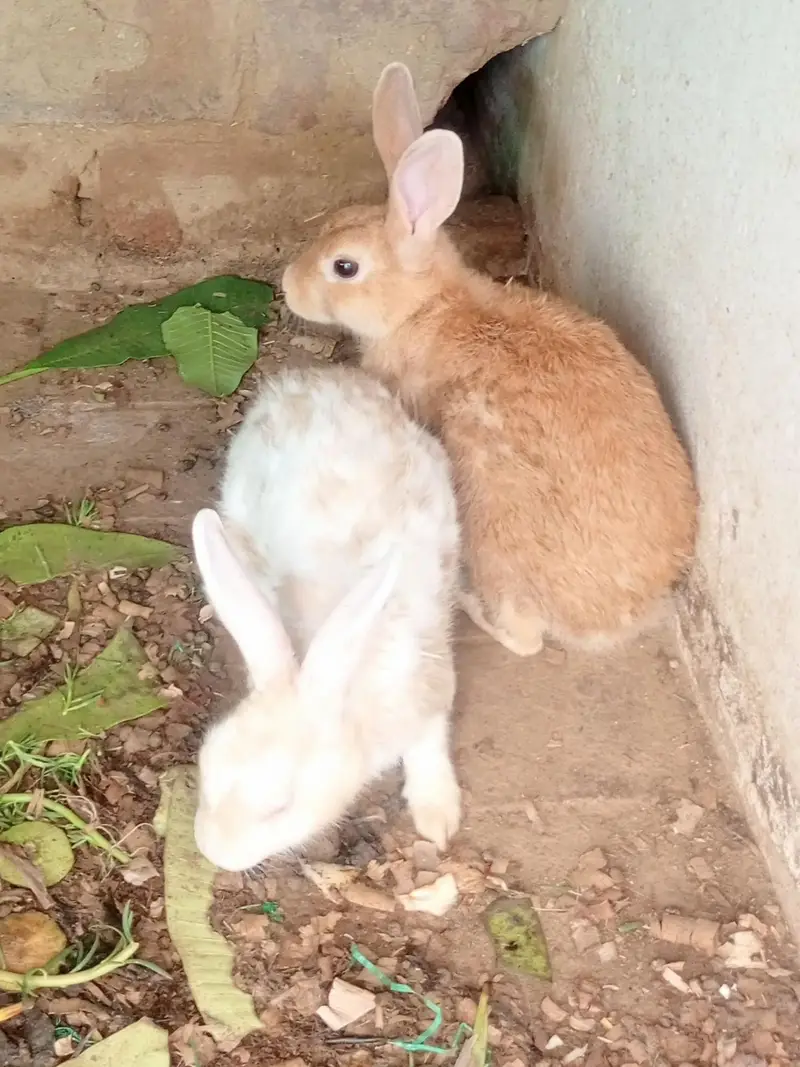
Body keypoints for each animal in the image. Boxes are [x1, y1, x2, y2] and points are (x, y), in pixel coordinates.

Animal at [190, 365, 462, 872]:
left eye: (281, 805)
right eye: (205, 766)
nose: (213, 852)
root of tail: (314, 379)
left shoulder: (427, 686)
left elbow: (429, 742)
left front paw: (437, 814)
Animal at [281, 62, 698, 658]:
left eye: (344, 267)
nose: (287, 285)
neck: (426, 308)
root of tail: (617, 617)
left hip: (492, 512)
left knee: (525, 638)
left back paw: (472, 604)